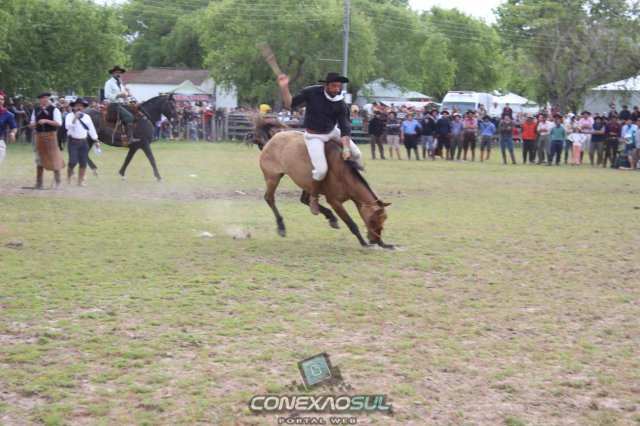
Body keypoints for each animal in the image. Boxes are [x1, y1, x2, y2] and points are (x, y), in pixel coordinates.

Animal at [247, 117, 394, 249]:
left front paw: (384, 244)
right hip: (273, 178)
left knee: (305, 199)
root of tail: (271, 140)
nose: (375, 240)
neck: (342, 173)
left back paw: (329, 217)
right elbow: (351, 223)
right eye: (373, 220)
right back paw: (281, 226)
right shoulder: (335, 202)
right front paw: (364, 243)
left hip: (306, 181)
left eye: (383, 220)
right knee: (269, 198)